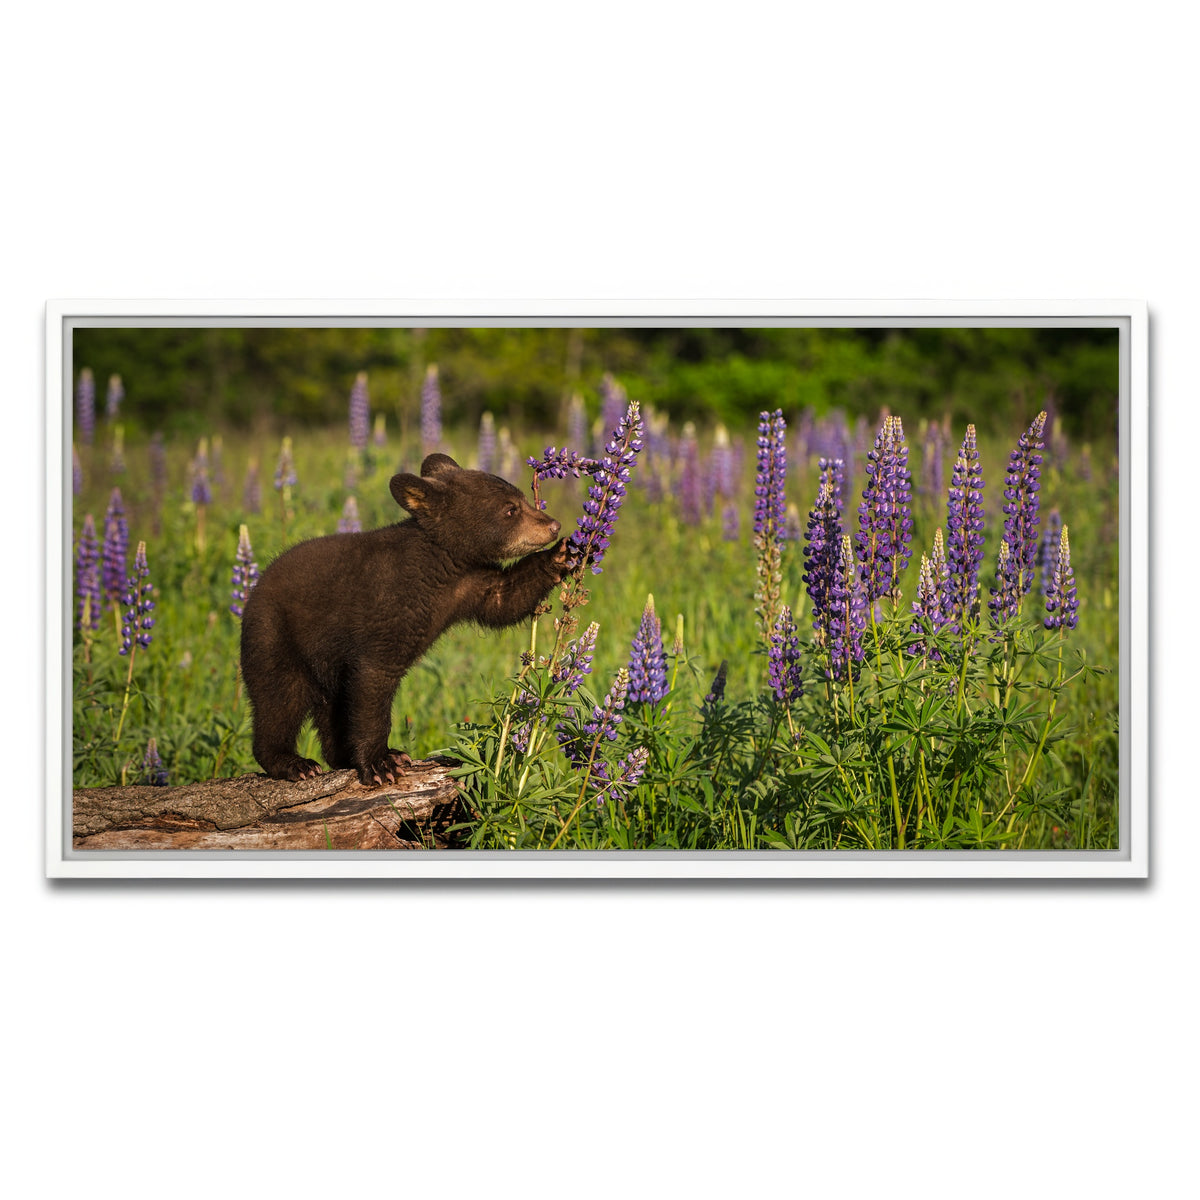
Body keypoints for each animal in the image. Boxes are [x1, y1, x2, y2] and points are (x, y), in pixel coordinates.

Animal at [239, 452, 571, 785]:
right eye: (510, 509)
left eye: (523, 499)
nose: (554, 525)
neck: (441, 565)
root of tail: (253, 591)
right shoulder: (386, 609)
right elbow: (373, 682)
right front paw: (381, 763)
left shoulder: (470, 584)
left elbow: (505, 599)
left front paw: (563, 555)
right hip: (275, 637)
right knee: (279, 698)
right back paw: (294, 763)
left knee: (330, 706)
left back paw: (340, 756)